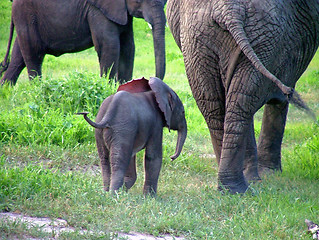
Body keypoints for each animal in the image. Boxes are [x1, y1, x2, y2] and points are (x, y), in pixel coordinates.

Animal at [0, 0, 168, 85]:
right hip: (26, 15)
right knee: (33, 54)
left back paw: (7, 90)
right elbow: (109, 46)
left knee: (18, 58)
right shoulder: (98, 10)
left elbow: (128, 48)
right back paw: (38, 90)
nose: (151, 80)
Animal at [168, 0, 319, 193]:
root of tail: (228, 9)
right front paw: (270, 173)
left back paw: (231, 187)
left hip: (202, 38)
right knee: (239, 102)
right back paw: (241, 186)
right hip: (264, 36)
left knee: (217, 105)